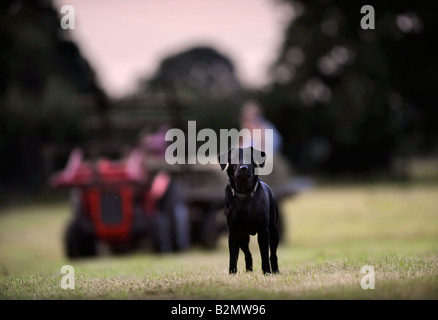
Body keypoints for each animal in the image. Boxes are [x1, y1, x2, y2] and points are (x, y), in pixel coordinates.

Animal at [221, 146, 278, 274]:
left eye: (250, 157)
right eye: (234, 157)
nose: (244, 168)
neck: (244, 192)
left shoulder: (263, 230)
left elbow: (264, 254)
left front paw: (267, 272)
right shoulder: (233, 232)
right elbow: (233, 256)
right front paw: (232, 273)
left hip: (273, 230)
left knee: (273, 254)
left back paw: (275, 270)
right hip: (243, 237)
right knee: (247, 254)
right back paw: (248, 270)